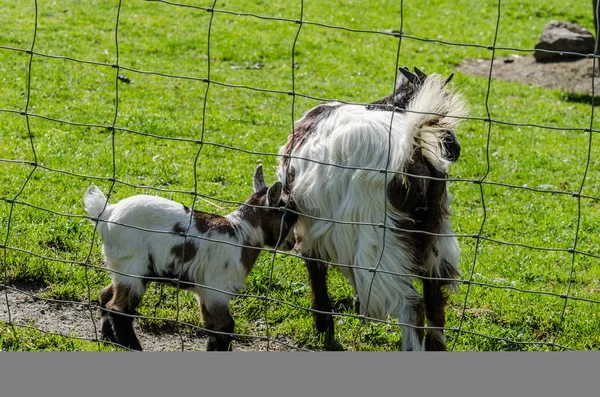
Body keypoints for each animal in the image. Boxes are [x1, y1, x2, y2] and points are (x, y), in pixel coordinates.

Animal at [83, 164, 298, 350]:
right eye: (288, 218)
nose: (293, 243)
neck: (240, 232)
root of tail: (107, 213)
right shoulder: (216, 289)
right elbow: (225, 327)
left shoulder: (204, 292)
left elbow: (212, 328)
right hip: (132, 266)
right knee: (118, 309)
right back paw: (133, 347)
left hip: (123, 268)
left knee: (105, 296)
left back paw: (109, 340)